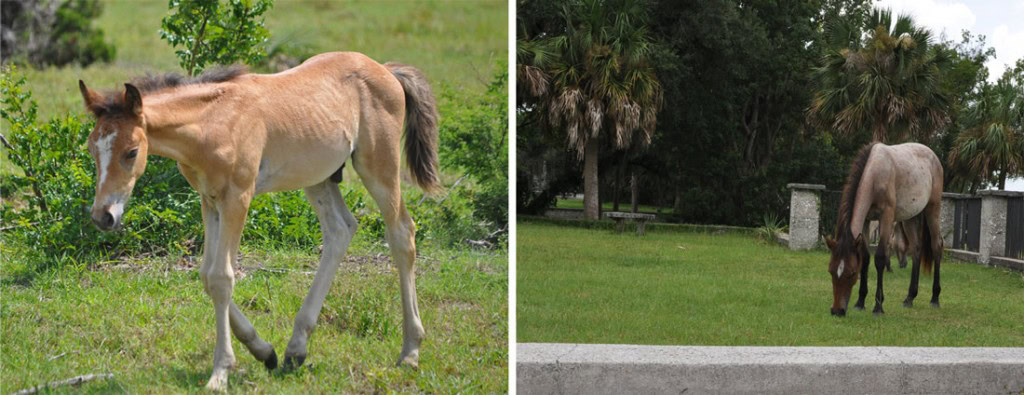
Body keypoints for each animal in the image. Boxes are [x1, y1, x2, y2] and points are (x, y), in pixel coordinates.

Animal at [75, 50, 436, 390]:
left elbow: (222, 277)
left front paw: (221, 372)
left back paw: (410, 351)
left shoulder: (238, 197)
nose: (103, 216)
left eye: (132, 152)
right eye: (93, 149)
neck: (212, 123)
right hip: (318, 177)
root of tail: (386, 70)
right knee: (340, 230)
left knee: (402, 233)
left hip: (379, 166)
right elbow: (206, 275)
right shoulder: (210, 200)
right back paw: (295, 350)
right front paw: (263, 351)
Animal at [823, 142, 942, 317]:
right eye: (831, 271)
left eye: (852, 273)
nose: (837, 310)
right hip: (910, 217)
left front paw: (878, 306)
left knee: (936, 246)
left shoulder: (886, 217)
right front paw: (860, 302)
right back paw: (910, 297)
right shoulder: (866, 221)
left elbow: (879, 258)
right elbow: (865, 258)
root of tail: (933, 155)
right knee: (916, 249)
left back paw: (935, 298)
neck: (875, 174)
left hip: (932, 209)